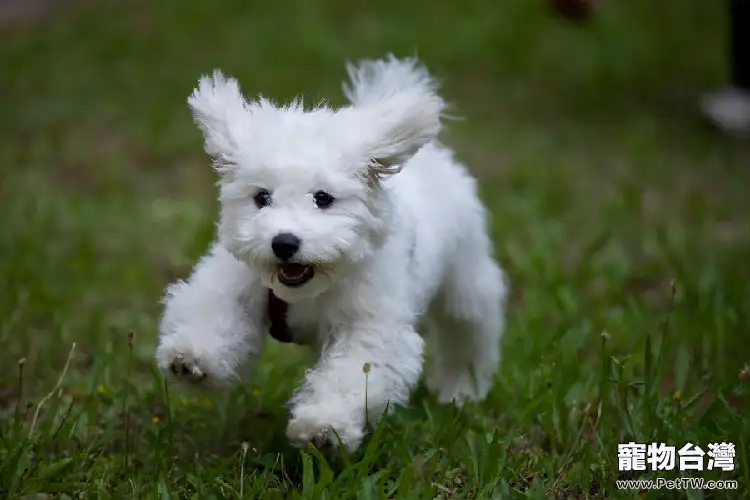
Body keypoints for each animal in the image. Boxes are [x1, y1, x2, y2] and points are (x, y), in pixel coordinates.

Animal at [159, 55, 512, 454]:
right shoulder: (235, 284)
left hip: (466, 279)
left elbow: (351, 374)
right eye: (261, 197)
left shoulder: (371, 326)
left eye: (323, 198)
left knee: (468, 331)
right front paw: (191, 356)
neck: (309, 288)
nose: (284, 242)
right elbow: (215, 314)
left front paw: (322, 427)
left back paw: (461, 390)